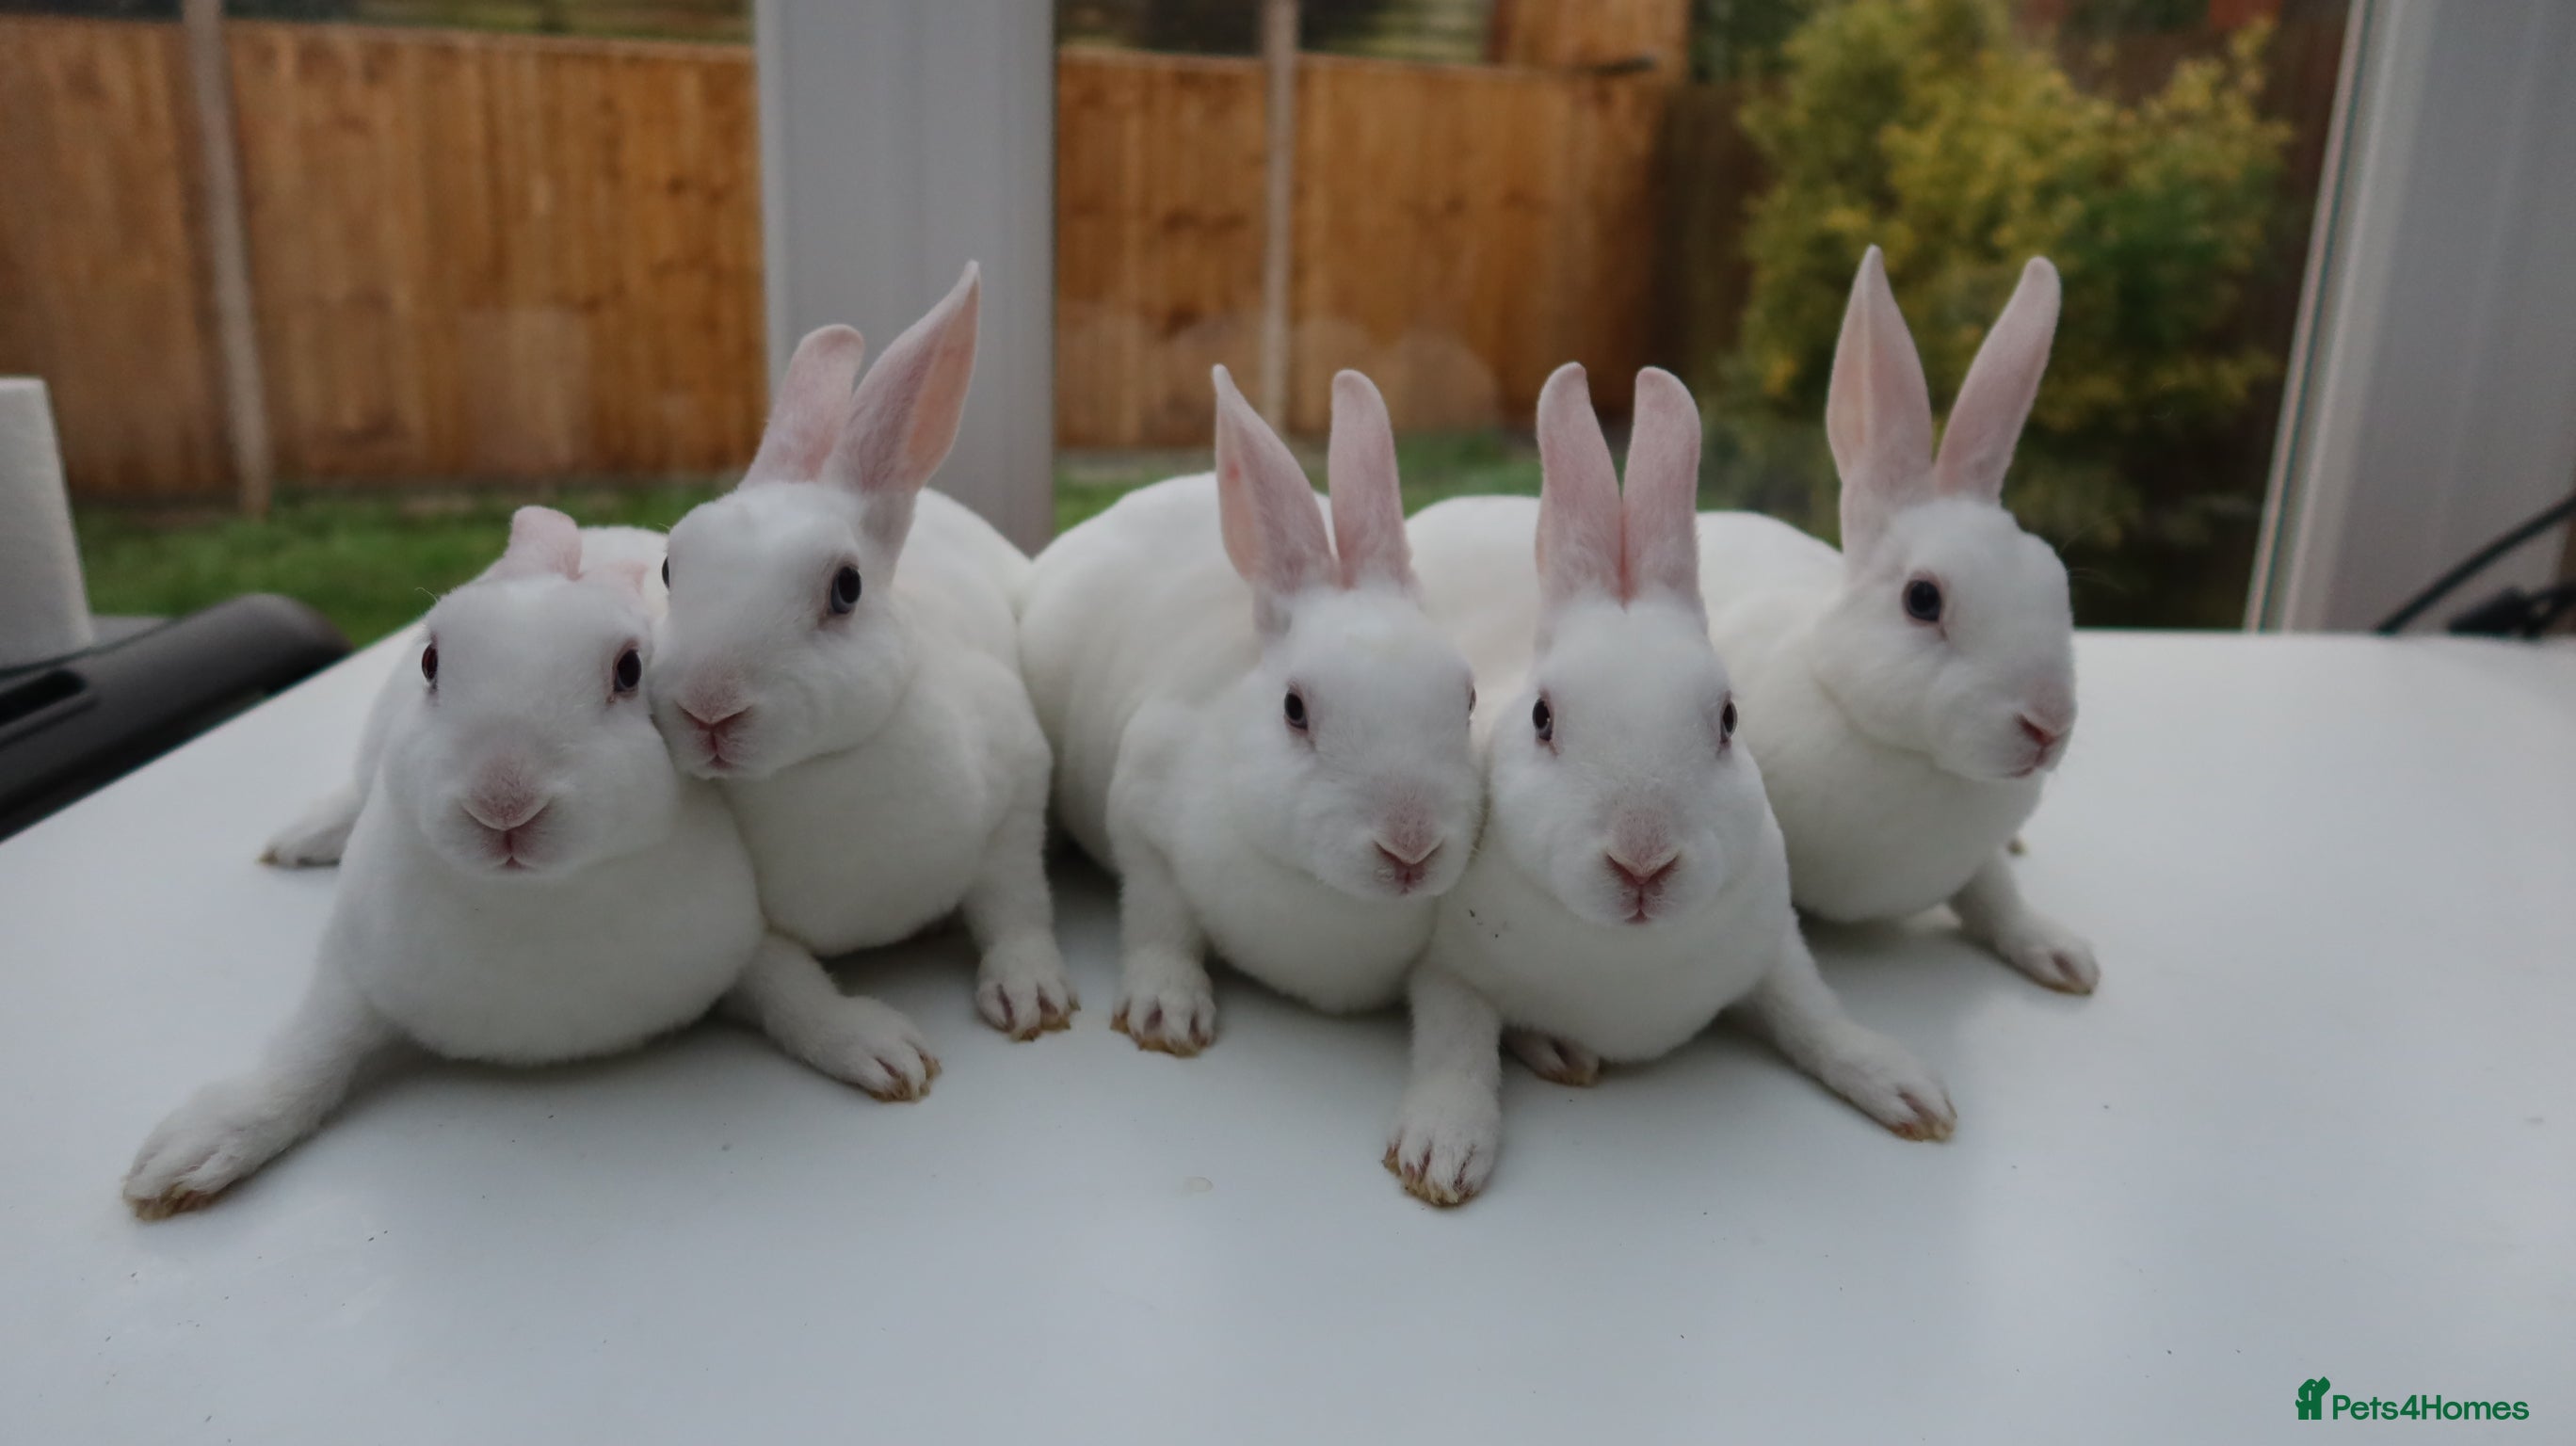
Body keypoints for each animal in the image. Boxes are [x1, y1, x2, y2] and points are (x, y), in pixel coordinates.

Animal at [650, 262, 1073, 1089]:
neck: (819, 770)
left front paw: (1032, 994)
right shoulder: (746, 937)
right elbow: (786, 986)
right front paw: (882, 1051)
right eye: (669, 569)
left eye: (845, 588)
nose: (707, 707)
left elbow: (1017, 904)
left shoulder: (1014, 796)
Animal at [1018, 366, 1484, 1055]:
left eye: (1469, 699)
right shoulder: (1142, 820)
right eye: (1295, 709)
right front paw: (1165, 1011)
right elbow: (1159, 925)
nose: (1411, 847)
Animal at [1387, 364, 1955, 1206]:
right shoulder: (1446, 970)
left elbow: (1812, 1011)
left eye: (1727, 718)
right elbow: (1456, 1047)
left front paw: (1902, 1086)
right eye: (1543, 718)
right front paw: (1442, 1146)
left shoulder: (1773, 946)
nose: (1643, 860)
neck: (1629, 957)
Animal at [1694, 247, 2096, 993]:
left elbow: (1995, 894)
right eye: (1923, 600)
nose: (2048, 725)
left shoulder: (1974, 864)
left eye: (2054, 579)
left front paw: (2062, 956)